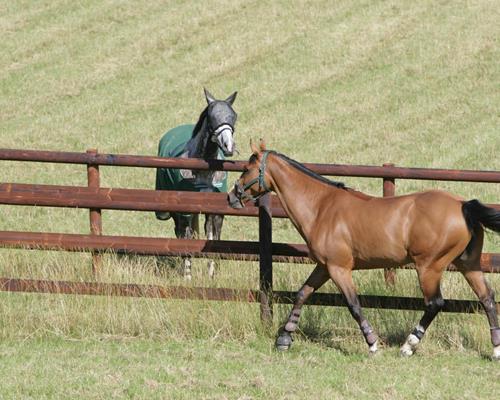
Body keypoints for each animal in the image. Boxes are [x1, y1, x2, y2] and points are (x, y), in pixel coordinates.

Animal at [155, 89, 237, 280]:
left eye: (233, 116)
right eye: (212, 116)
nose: (228, 146)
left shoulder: (214, 212)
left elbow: (213, 237)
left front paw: (212, 274)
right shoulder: (185, 211)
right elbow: (186, 237)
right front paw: (187, 276)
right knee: (179, 231)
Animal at [228, 142, 500, 360]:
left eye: (246, 168)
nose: (232, 196)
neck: (321, 207)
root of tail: (463, 205)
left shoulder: (339, 269)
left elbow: (353, 304)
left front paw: (372, 344)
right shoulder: (324, 267)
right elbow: (302, 294)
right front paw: (284, 339)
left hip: (429, 267)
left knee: (435, 303)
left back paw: (408, 346)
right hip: (468, 264)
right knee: (487, 298)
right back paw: (496, 350)